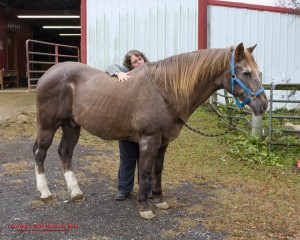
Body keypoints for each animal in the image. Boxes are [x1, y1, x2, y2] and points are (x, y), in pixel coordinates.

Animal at [32, 42, 268, 218]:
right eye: (246, 73)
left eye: (259, 72)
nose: (263, 105)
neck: (165, 90)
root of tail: (49, 73)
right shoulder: (149, 139)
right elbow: (145, 171)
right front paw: (145, 207)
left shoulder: (163, 142)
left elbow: (157, 170)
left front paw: (159, 200)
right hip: (48, 126)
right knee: (40, 153)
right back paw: (45, 193)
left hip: (71, 125)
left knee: (65, 152)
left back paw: (76, 192)